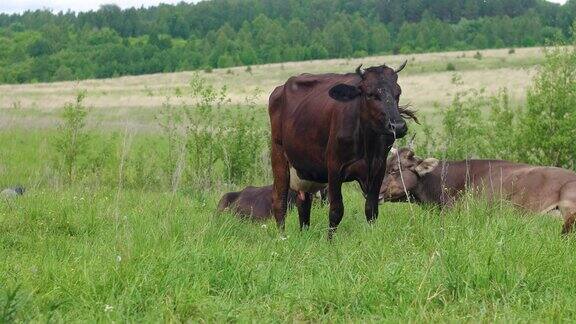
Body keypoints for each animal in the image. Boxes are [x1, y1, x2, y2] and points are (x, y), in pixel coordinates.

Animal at [270, 62, 414, 238]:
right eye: (370, 94)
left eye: (397, 93)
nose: (398, 126)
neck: (367, 144)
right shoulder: (334, 168)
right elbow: (336, 210)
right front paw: (330, 241)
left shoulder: (379, 169)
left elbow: (371, 209)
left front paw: (372, 236)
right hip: (278, 154)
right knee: (279, 201)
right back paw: (282, 237)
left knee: (303, 202)